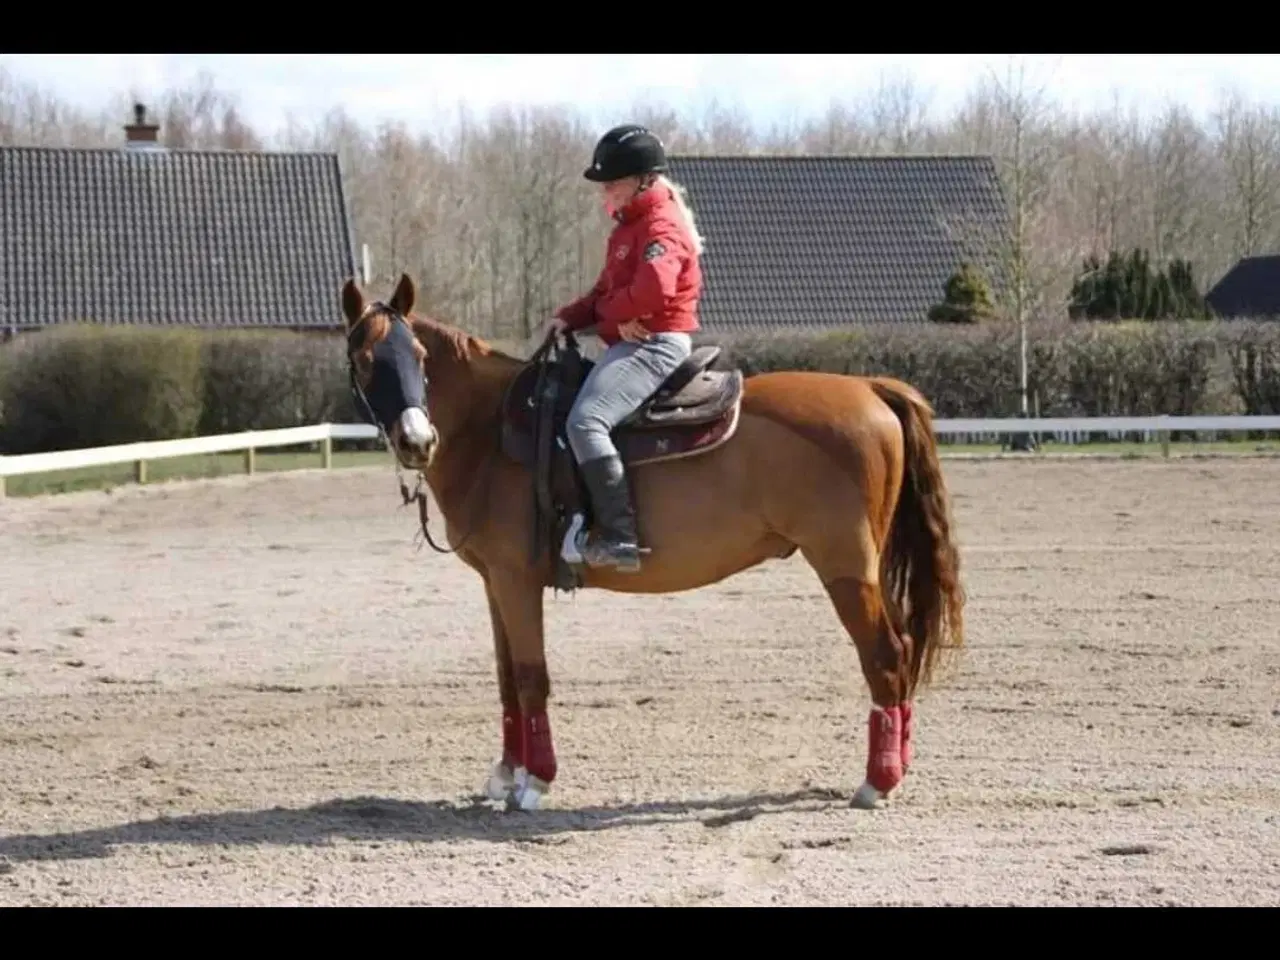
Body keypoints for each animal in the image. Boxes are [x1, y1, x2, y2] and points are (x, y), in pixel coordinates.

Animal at [341, 272, 966, 812]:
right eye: (368, 361)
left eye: (420, 359)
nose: (417, 441)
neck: (491, 431)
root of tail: (871, 388)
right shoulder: (496, 583)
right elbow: (506, 679)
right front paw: (504, 775)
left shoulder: (518, 581)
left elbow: (531, 677)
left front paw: (535, 783)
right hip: (870, 570)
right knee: (902, 648)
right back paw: (897, 766)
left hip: (845, 569)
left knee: (885, 656)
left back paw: (876, 782)